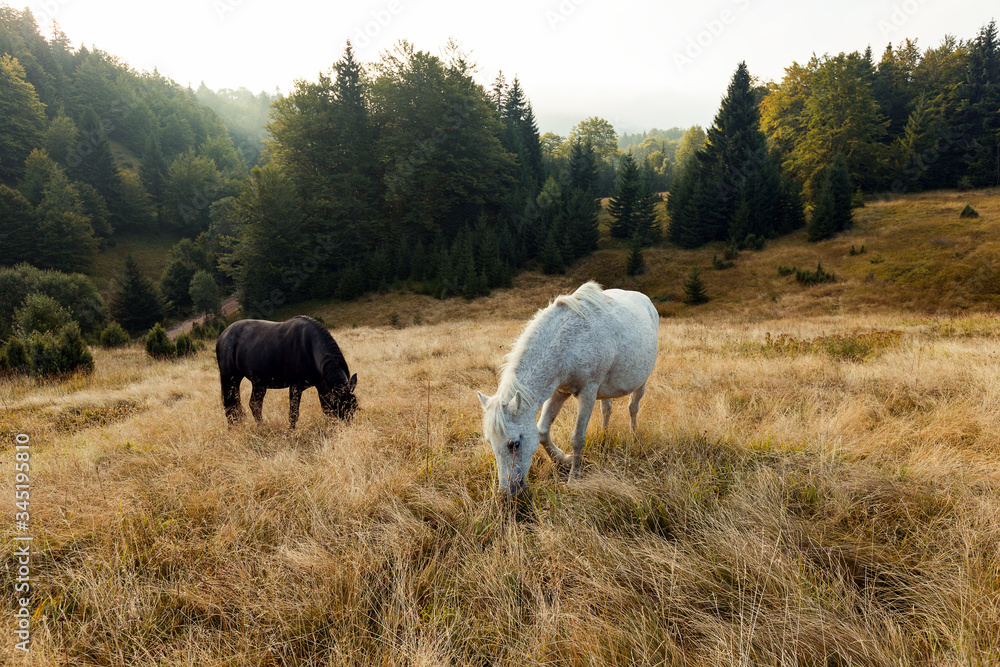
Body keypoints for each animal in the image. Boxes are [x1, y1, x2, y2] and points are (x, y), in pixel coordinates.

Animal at [216, 316, 358, 429]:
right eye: (338, 407)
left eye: (354, 408)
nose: (347, 430)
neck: (309, 348)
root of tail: (223, 335)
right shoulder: (295, 387)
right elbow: (293, 414)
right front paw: (291, 434)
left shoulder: (322, 385)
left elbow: (326, 410)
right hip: (230, 378)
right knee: (230, 405)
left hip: (258, 383)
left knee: (255, 405)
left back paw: (262, 428)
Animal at [477, 281, 659, 497]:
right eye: (490, 442)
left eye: (514, 444)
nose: (507, 494)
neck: (568, 343)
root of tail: (646, 300)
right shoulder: (559, 391)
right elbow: (542, 430)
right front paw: (562, 459)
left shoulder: (588, 392)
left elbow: (577, 438)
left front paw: (573, 478)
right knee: (607, 409)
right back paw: (605, 436)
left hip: (641, 383)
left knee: (633, 408)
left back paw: (634, 436)